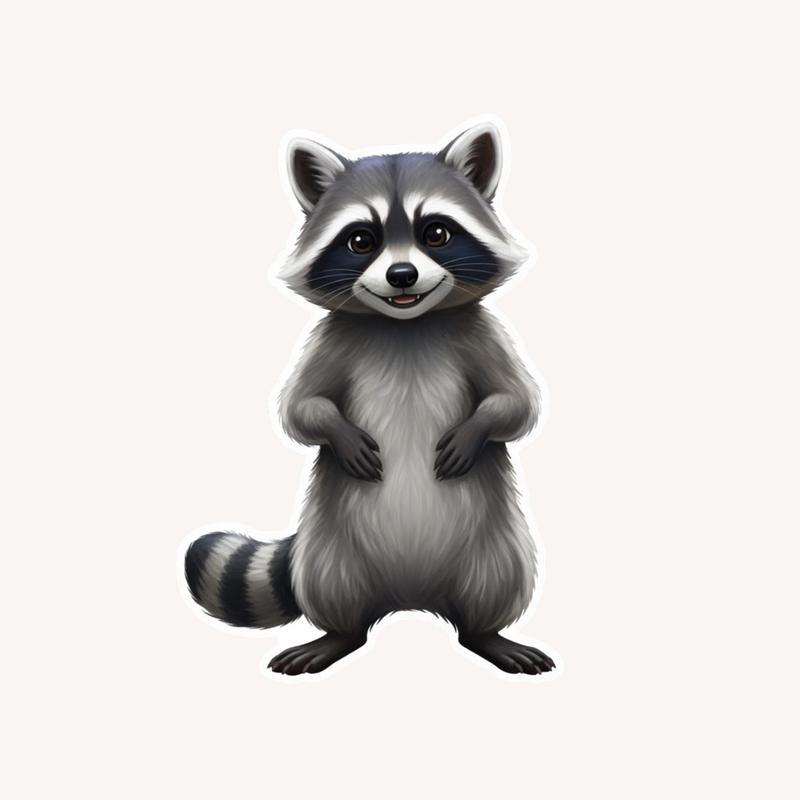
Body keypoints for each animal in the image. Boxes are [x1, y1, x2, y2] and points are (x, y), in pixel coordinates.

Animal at [185, 122, 555, 676]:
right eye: (361, 240)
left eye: (436, 234)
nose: (402, 276)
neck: (405, 324)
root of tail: (411, 599)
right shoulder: (330, 339)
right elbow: (298, 410)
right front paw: (336, 432)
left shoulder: (483, 333)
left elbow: (518, 403)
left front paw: (477, 428)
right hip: (330, 550)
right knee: (333, 588)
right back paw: (337, 634)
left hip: (497, 545)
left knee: (499, 579)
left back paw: (486, 633)